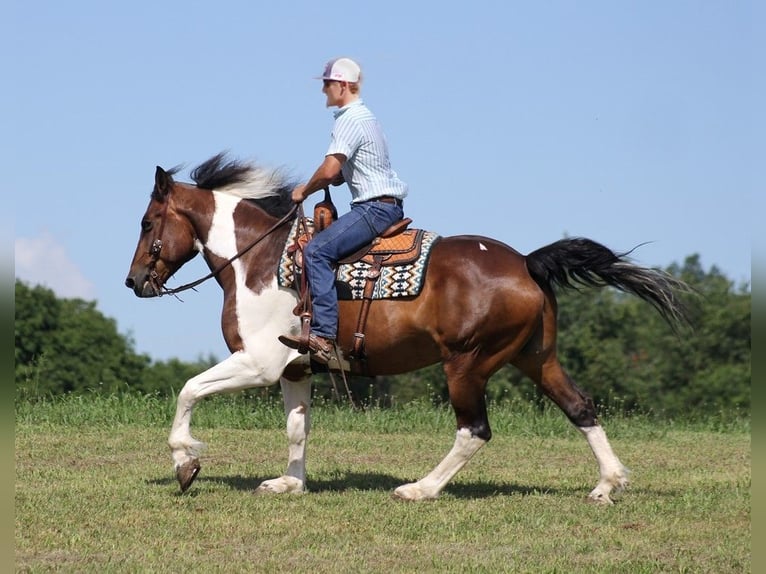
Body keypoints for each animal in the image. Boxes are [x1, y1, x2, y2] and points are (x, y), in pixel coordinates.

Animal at [126, 152, 688, 504]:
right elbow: (297, 428)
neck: (259, 261)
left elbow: (188, 391)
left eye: (148, 223)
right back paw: (607, 485)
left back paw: (421, 488)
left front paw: (185, 463)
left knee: (474, 431)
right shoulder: (294, 369)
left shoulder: (259, 364)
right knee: (581, 407)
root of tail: (527, 263)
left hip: (467, 363)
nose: (133, 282)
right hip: (535, 357)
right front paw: (290, 484)